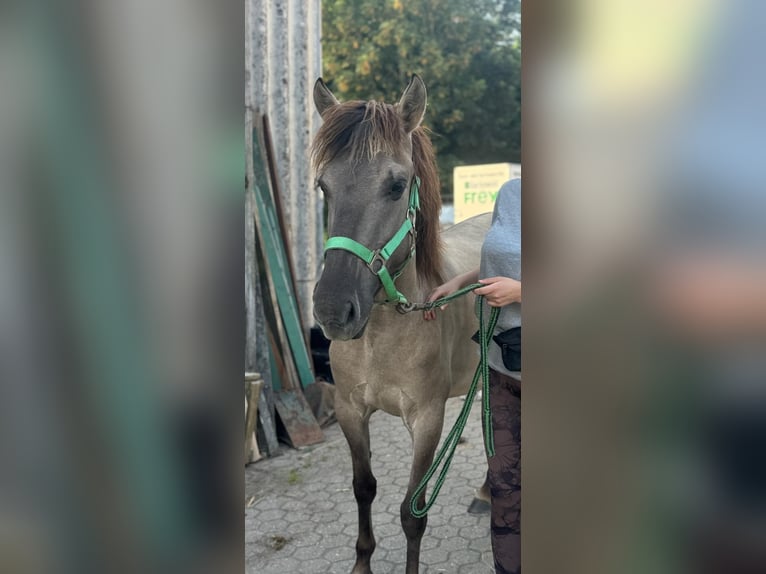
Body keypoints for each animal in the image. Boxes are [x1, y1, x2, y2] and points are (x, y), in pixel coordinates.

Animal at [312, 76, 492, 574]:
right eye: (323, 187)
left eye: (396, 186)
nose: (333, 311)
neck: (381, 337)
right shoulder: (351, 412)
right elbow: (364, 488)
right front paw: (361, 564)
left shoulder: (427, 420)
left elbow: (413, 513)